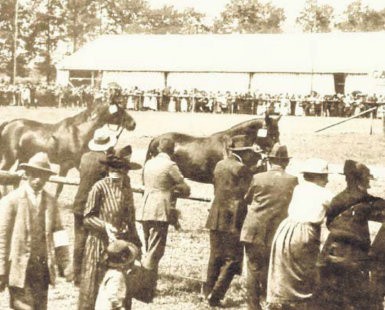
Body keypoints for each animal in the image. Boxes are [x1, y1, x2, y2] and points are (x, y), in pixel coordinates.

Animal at [0, 103, 136, 197]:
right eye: (119, 111)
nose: (133, 124)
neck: (78, 133)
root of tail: (9, 123)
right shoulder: (65, 165)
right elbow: (60, 186)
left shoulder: (77, 164)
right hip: (10, 158)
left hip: (23, 159)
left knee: (15, 176)